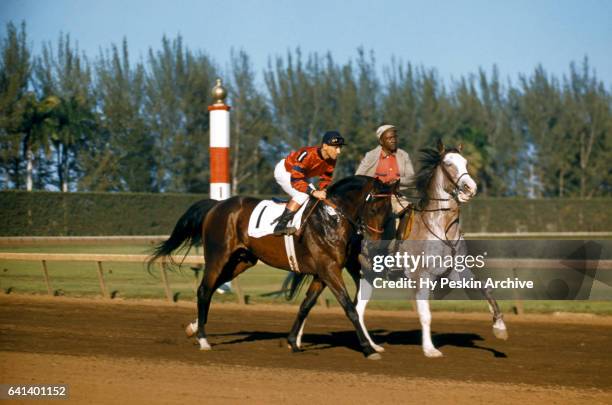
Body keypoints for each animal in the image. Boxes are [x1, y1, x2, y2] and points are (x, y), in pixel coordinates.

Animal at [149, 175, 396, 358]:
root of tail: (217, 204)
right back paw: (203, 339)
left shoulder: (322, 273)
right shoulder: (329, 269)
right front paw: (367, 349)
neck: (331, 218)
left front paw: (293, 342)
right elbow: (349, 307)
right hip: (218, 257)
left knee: (210, 289)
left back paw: (193, 327)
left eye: (389, 213)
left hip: (241, 261)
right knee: (204, 289)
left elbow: (306, 305)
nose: (375, 244)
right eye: (374, 209)